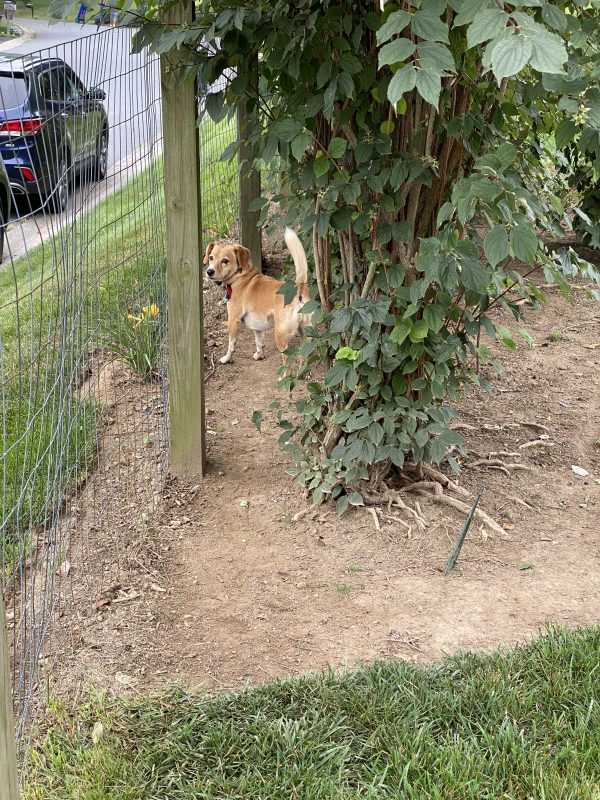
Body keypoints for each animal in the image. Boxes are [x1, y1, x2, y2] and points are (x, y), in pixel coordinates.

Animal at [205, 225, 310, 362]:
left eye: (225, 261)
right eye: (211, 257)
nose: (209, 271)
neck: (240, 276)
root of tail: (298, 289)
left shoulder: (233, 320)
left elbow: (231, 345)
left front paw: (226, 359)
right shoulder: (257, 328)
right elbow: (259, 342)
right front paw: (259, 355)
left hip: (280, 336)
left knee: (287, 359)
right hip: (307, 334)